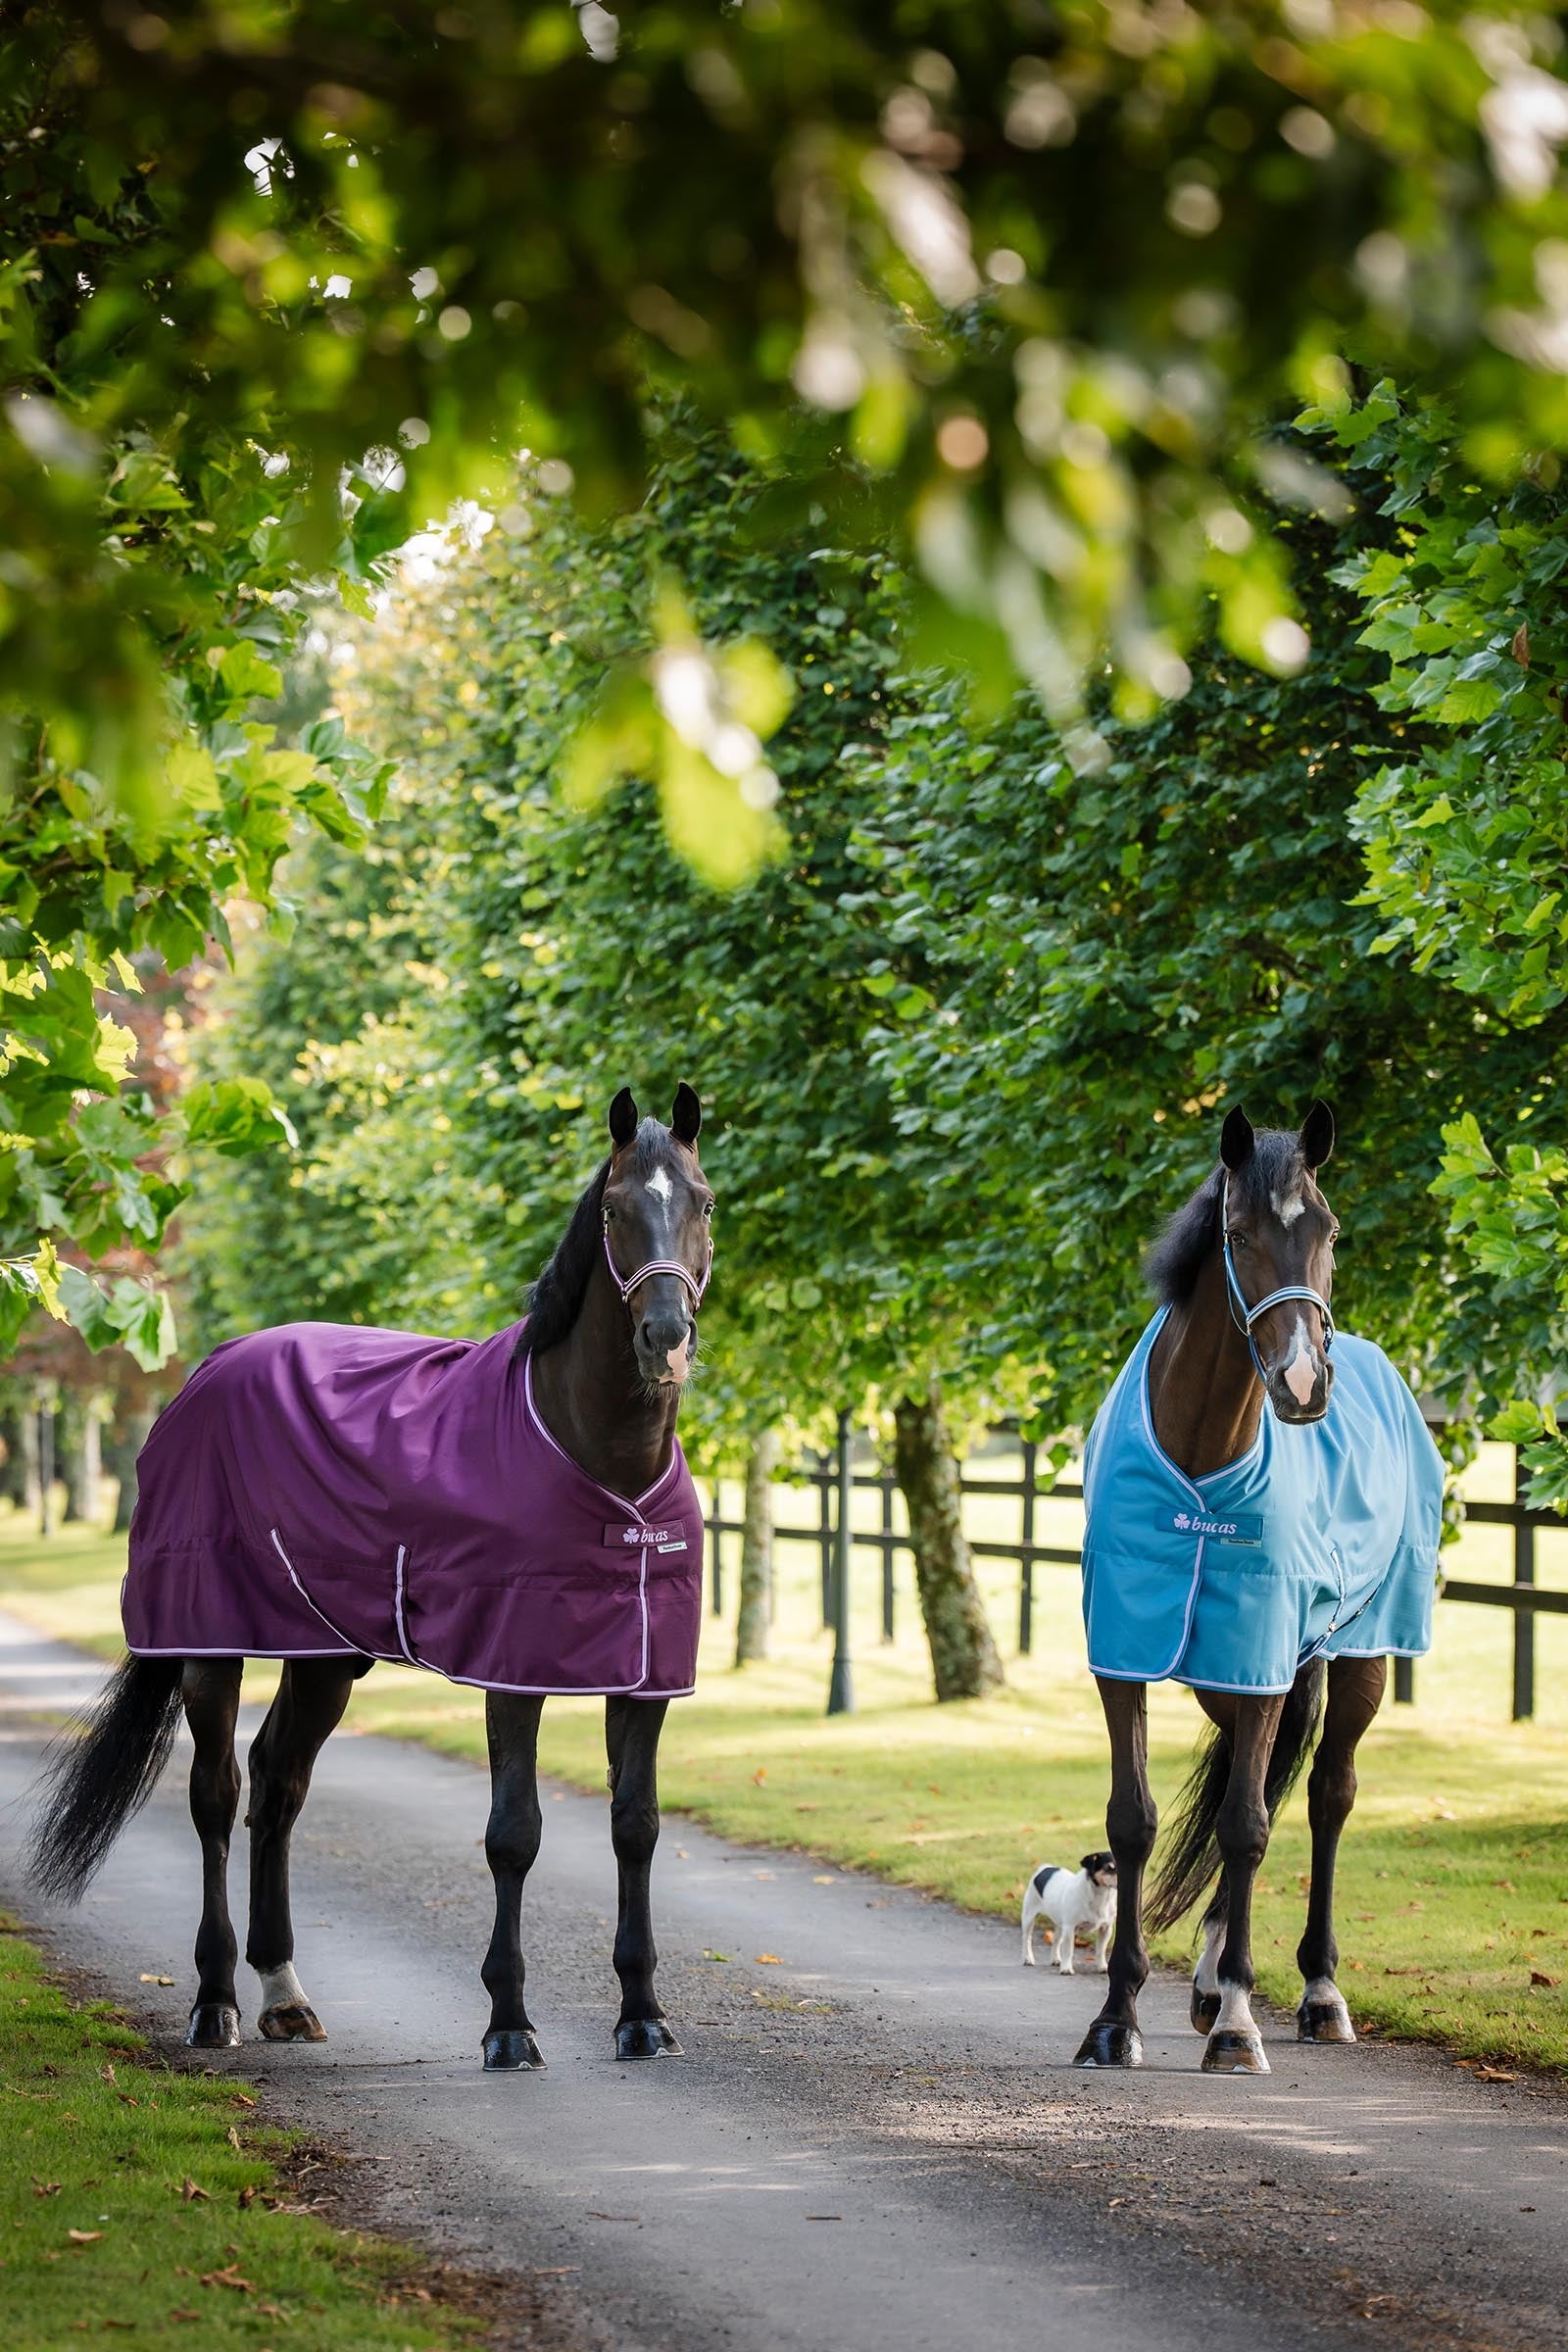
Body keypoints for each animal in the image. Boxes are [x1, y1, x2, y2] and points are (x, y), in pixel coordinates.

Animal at [29, 1085, 714, 2072]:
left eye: (703, 1202)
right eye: (617, 1210)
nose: (666, 1335)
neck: (598, 1455)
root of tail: (208, 1369)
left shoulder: (645, 1678)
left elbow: (637, 1828)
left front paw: (642, 2015)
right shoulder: (512, 1670)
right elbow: (515, 1835)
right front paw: (509, 2025)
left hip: (324, 1655)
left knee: (278, 1784)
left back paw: (284, 1995)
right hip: (209, 1643)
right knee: (216, 1797)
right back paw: (215, 2002)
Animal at [1072, 1104, 1443, 2075]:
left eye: (1330, 1231)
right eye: (1237, 1236)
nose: (1304, 1383)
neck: (1203, 1451)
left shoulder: (1262, 1658)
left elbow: (1245, 1825)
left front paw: (1240, 2023)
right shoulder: (1126, 1653)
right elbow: (1135, 1820)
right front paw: (1115, 2018)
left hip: (1355, 1660)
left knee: (1323, 1798)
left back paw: (1315, 1992)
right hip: (1231, 1681)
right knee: (1266, 1785)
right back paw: (1208, 1980)